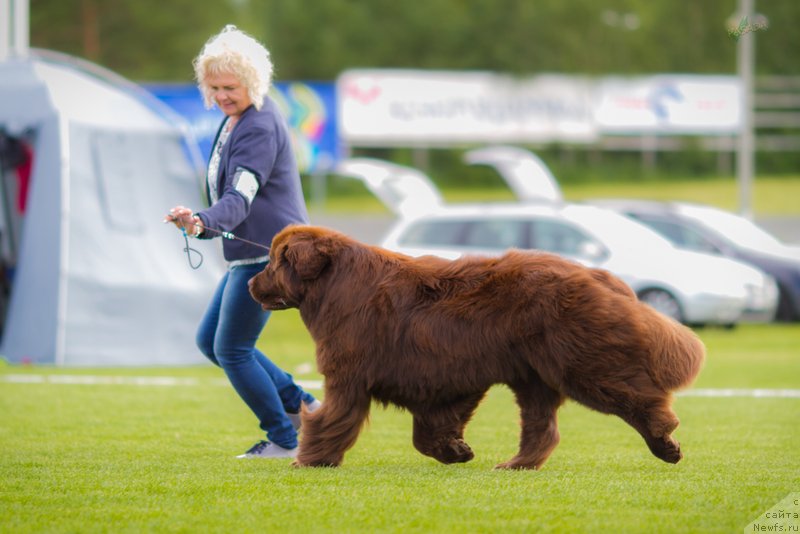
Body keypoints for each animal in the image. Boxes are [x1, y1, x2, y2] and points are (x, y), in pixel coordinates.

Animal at [247, 228, 704, 472]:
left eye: (273, 263)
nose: (250, 284)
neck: (334, 286)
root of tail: (598, 274)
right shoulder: (442, 378)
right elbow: (428, 430)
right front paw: (456, 452)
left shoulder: (349, 375)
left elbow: (331, 420)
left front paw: (310, 459)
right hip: (532, 376)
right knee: (542, 427)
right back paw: (516, 465)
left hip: (582, 362)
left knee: (637, 396)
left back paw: (665, 442)